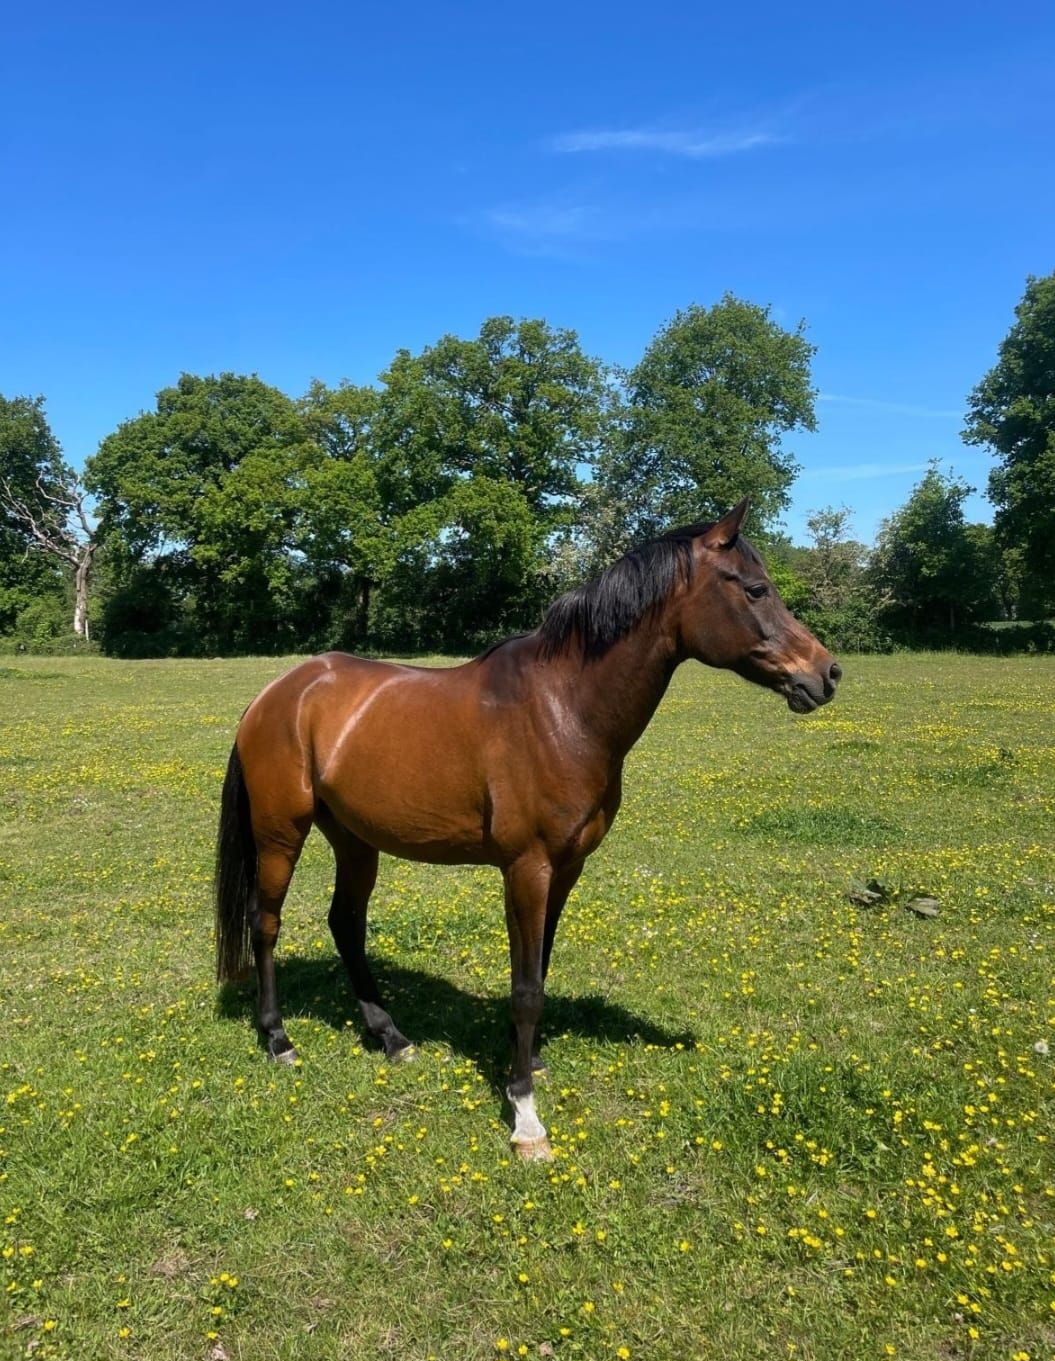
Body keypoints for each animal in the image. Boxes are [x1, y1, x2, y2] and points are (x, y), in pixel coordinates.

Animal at [214, 499, 841, 1160]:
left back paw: (391, 1037)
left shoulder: (566, 869)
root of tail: (277, 693)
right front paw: (525, 1114)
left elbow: (539, 966)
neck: (564, 709)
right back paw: (279, 1040)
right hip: (281, 832)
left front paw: (530, 1061)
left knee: (346, 924)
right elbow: (525, 988)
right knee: (265, 923)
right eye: (755, 589)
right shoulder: (527, 869)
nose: (827, 674)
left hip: (355, 840)